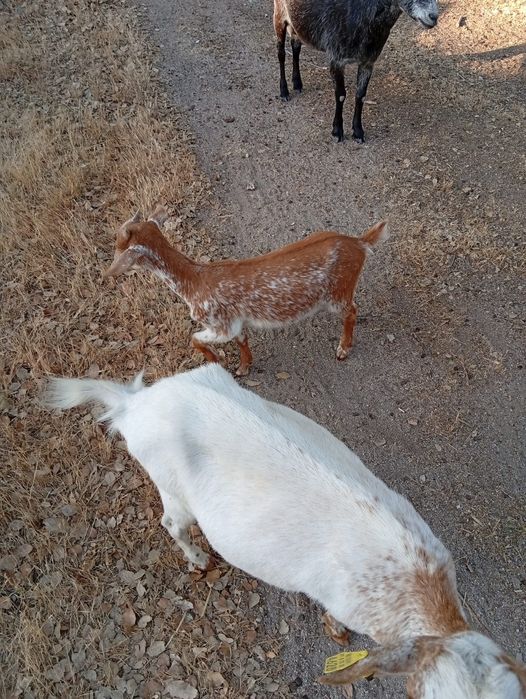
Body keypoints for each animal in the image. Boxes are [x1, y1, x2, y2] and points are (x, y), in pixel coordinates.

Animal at [46, 363, 526, 699]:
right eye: (425, 694)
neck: (416, 576)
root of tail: (135, 403)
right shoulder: (347, 602)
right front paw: (336, 631)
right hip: (169, 484)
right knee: (171, 522)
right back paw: (198, 559)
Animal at [104, 205, 388, 376]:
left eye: (118, 244)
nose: (108, 272)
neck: (193, 282)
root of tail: (360, 243)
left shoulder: (220, 324)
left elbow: (195, 338)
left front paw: (216, 362)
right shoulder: (235, 321)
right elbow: (242, 340)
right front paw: (243, 368)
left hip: (339, 290)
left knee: (352, 310)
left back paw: (343, 349)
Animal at [273, 0, 439, 142]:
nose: (434, 17)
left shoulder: (368, 62)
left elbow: (361, 95)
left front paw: (358, 132)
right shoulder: (336, 59)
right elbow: (340, 95)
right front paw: (337, 131)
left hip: (297, 23)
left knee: (295, 46)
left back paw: (297, 83)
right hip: (279, 15)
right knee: (281, 53)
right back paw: (284, 91)